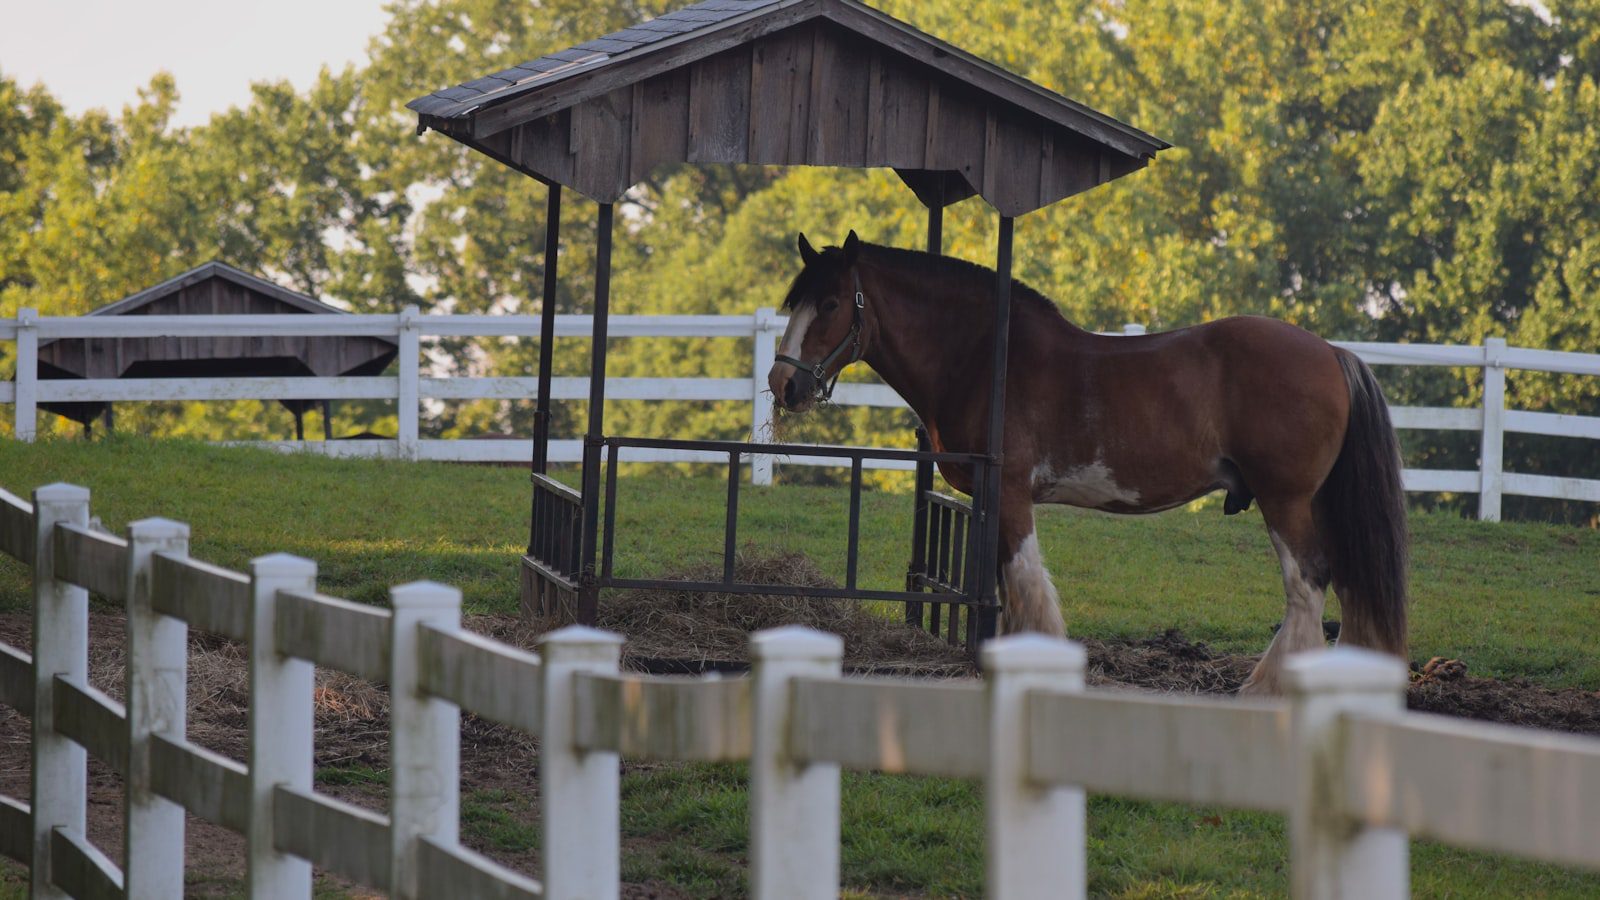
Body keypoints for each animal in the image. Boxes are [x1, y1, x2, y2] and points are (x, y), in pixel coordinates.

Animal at [768, 229, 1408, 685]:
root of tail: (1332, 352)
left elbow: (1026, 584)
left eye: (830, 303)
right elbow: (1006, 588)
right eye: (794, 301)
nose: (783, 384)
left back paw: (1267, 688)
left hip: (1286, 501)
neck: (984, 356)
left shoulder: (1011, 494)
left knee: (1309, 584)